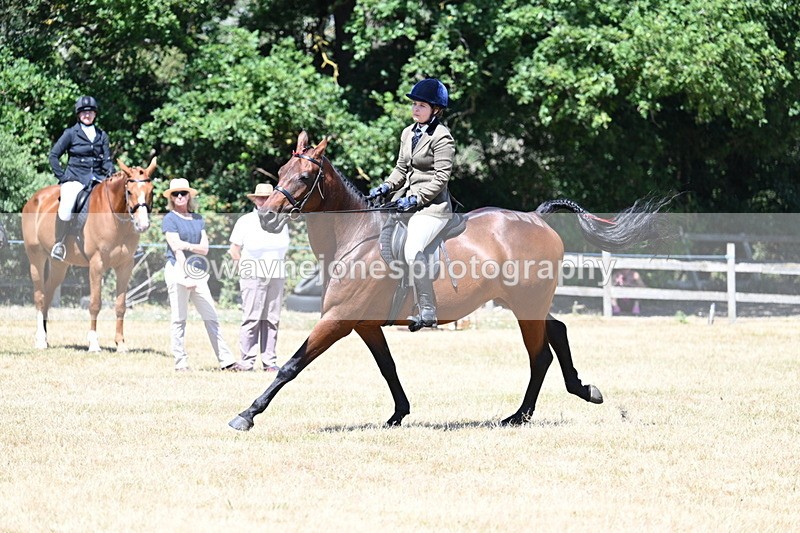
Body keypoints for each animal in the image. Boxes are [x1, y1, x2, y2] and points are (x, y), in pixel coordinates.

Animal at [22, 158, 156, 352]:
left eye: (151, 191)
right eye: (129, 191)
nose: (143, 225)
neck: (116, 218)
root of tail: (36, 198)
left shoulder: (125, 265)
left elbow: (121, 305)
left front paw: (121, 344)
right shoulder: (96, 264)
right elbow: (95, 303)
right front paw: (93, 343)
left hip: (59, 266)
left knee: (47, 295)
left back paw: (45, 339)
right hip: (36, 258)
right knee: (40, 297)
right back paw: (40, 340)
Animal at [228, 132, 668, 431]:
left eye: (304, 176)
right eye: (281, 171)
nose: (266, 217)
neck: (354, 237)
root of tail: (536, 216)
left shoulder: (338, 319)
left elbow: (291, 365)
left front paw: (246, 414)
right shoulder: (365, 323)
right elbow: (388, 367)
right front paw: (398, 414)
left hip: (526, 305)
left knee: (540, 354)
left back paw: (520, 415)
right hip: (526, 303)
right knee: (556, 332)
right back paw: (575, 392)